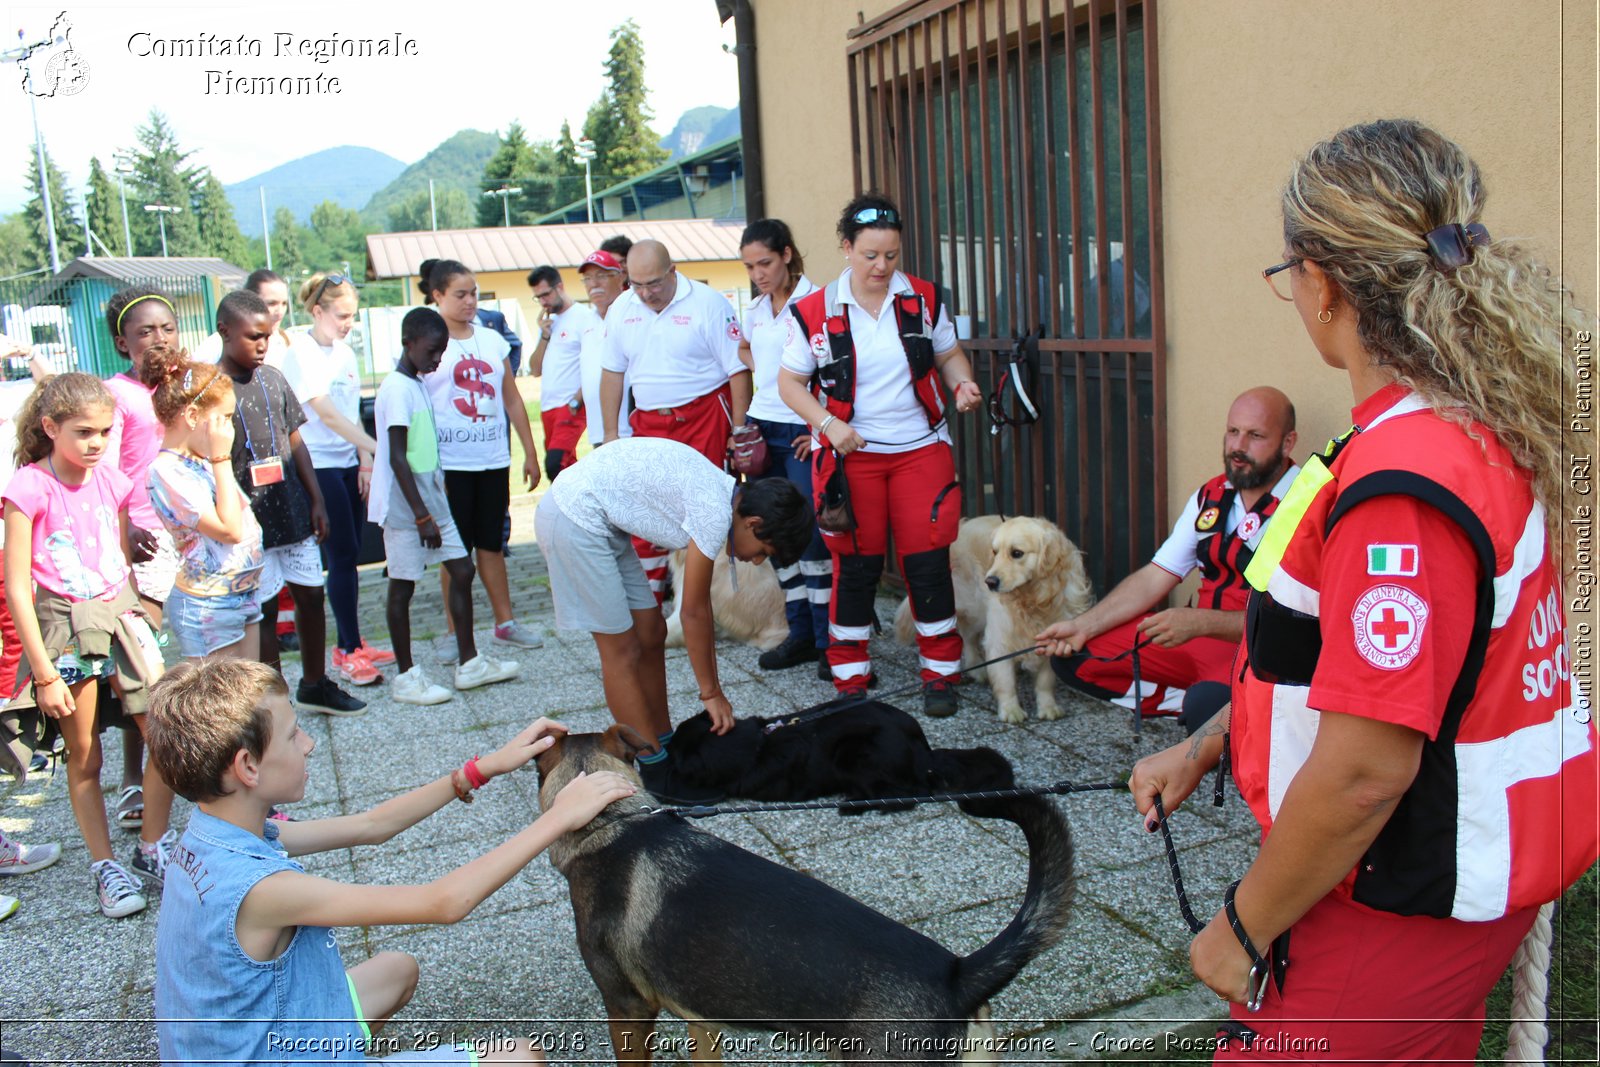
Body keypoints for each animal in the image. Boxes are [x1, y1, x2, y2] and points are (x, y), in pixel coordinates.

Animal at [665, 697, 1011, 812]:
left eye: (676, 756)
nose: (663, 748)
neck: (758, 746)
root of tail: (925, 753)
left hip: (854, 751)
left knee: (908, 795)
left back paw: (852, 806)